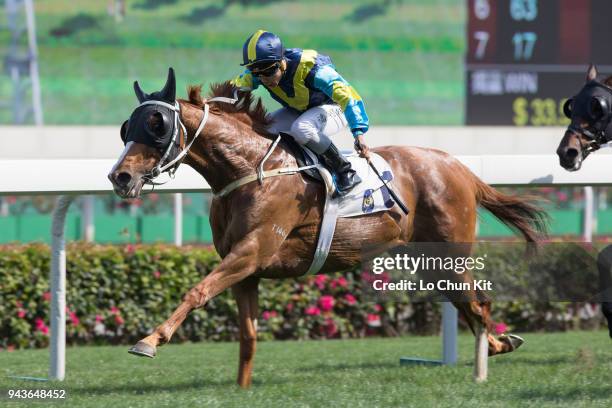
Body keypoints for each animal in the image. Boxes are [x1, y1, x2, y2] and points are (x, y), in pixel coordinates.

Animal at [107, 68, 548, 388]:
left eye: (157, 124)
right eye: (127, 126)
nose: (119, 177)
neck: (250, 169)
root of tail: (459, 167)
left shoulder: (252, 251)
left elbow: (196, 291)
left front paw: (149, 340)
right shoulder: (245, 269)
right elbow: (248, 335)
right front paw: (242, 388)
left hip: (450, 254)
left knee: (478, 303)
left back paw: (482, 366)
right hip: (429, 261)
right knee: (468, 304)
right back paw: (500, 343)